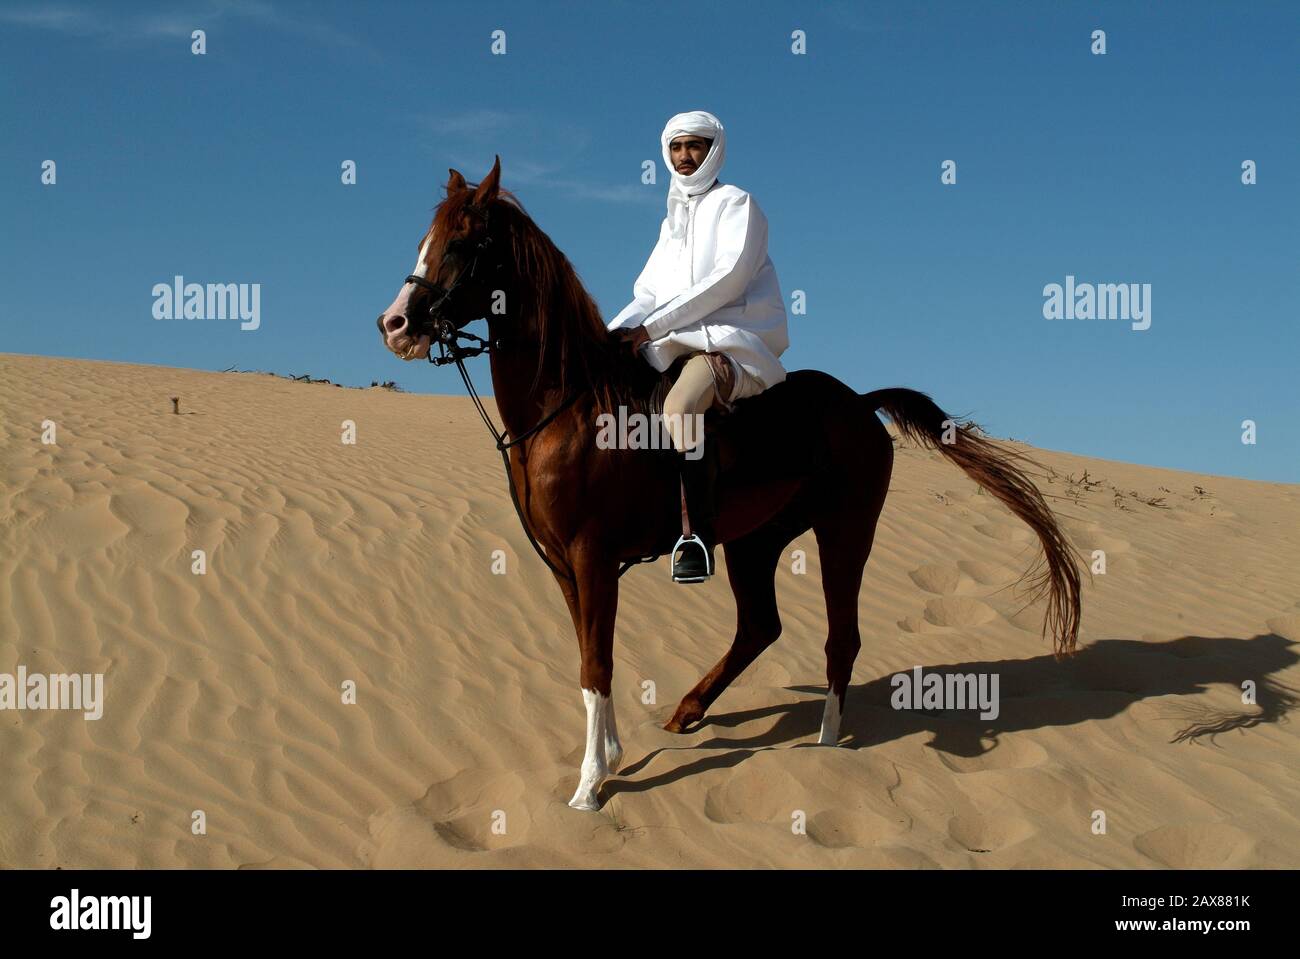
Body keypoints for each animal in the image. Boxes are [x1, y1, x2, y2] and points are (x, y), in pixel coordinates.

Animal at [376, 156, 1082, 811]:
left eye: (465, 242)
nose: (395, 325)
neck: (567, 405)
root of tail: (859, 403)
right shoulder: (563, 566)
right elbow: (587, 662)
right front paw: (610, 758)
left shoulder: (592, 557)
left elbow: (596, 662)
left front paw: (590, 785)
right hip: (753, 541)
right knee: (759, 627)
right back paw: (690, 710)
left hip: (845, 531)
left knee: (841, 636)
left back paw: (827, 744)